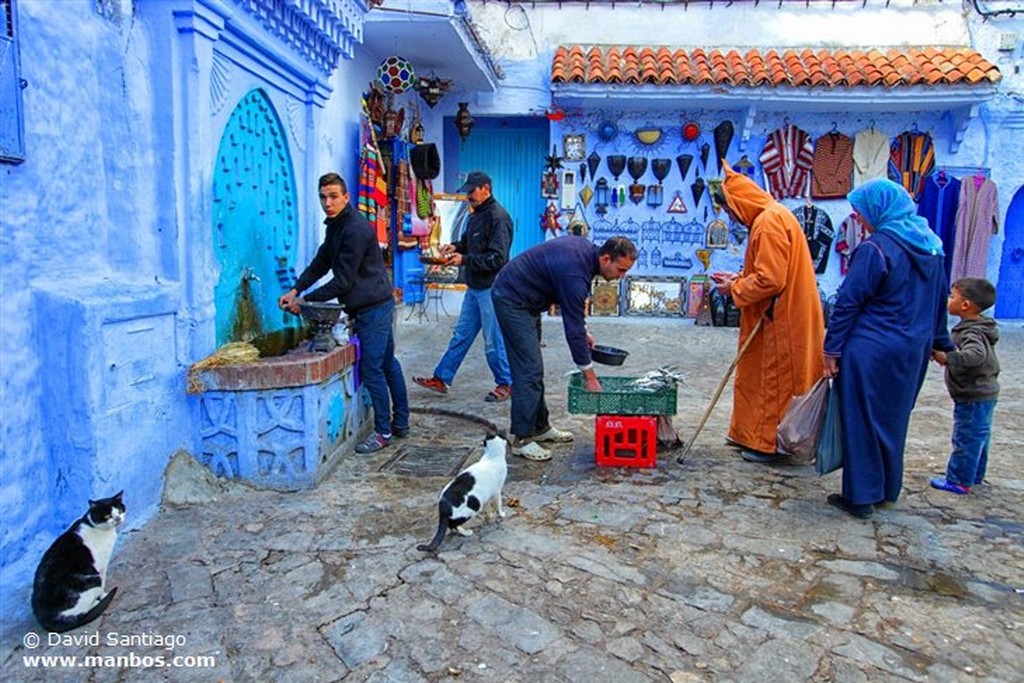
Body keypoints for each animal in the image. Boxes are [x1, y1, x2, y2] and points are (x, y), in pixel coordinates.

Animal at [32, 489, 125, 634]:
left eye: (119, 510)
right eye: (107, 515)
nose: (117, 519)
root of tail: (46, 620)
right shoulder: (101, 567)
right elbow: (103, 585)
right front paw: (103, 595)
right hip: (92, 579)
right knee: (81, 612)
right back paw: (96, 603)